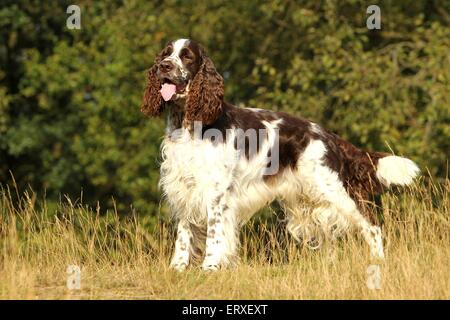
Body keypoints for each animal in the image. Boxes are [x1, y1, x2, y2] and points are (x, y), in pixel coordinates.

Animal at [141, 38, 418, 272]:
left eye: (186, 56)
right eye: (166, 53)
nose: (164, 66)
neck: (189, 125)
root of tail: (327, 135)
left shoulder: (216, 193)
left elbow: (214, 234)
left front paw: (210, 268)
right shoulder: (183, 186)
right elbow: (183, 234)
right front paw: (177, 268)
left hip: (334, 190)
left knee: (372, 226)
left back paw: (378, 263)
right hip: (311, 199)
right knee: (329, 235)